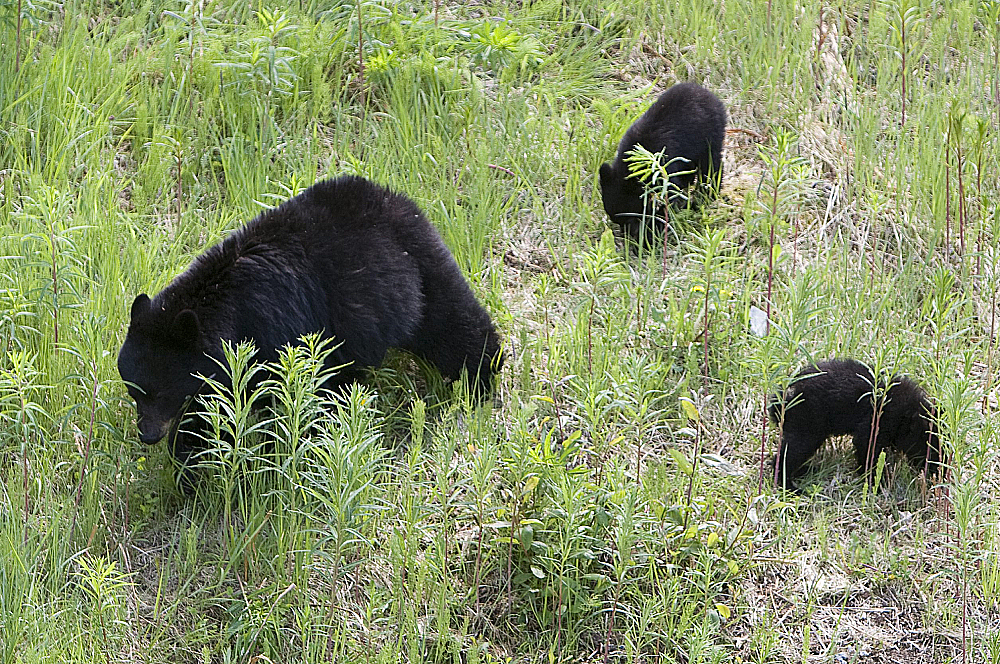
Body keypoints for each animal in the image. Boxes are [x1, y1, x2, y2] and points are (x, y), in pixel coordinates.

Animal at [118, 175, 504, 482]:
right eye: (134, 390)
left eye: (162, 392)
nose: (147, 435)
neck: (227, 308)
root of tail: (393, 197)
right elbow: (211, 409)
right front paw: (190, 466)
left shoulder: (277, 332)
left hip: (417, 271)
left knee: (453, 323)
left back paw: (483, 380)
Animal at [592, 82, 728, 248]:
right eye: (616, 219)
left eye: (632, 218)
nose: (628, 236)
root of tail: (709, 94)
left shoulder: (664, 167)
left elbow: (668, 196)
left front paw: (653, 235)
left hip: (709, 137)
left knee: (711, 165)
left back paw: (707, 194)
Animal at [768, 358, 940, 492]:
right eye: (931, 448)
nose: (939, 474)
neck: (907, 412)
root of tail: (781, 398)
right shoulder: (877, 421)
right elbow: (866, 448)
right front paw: (876, 482)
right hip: (807, 426)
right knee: (787, 455)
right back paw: (792, 487)